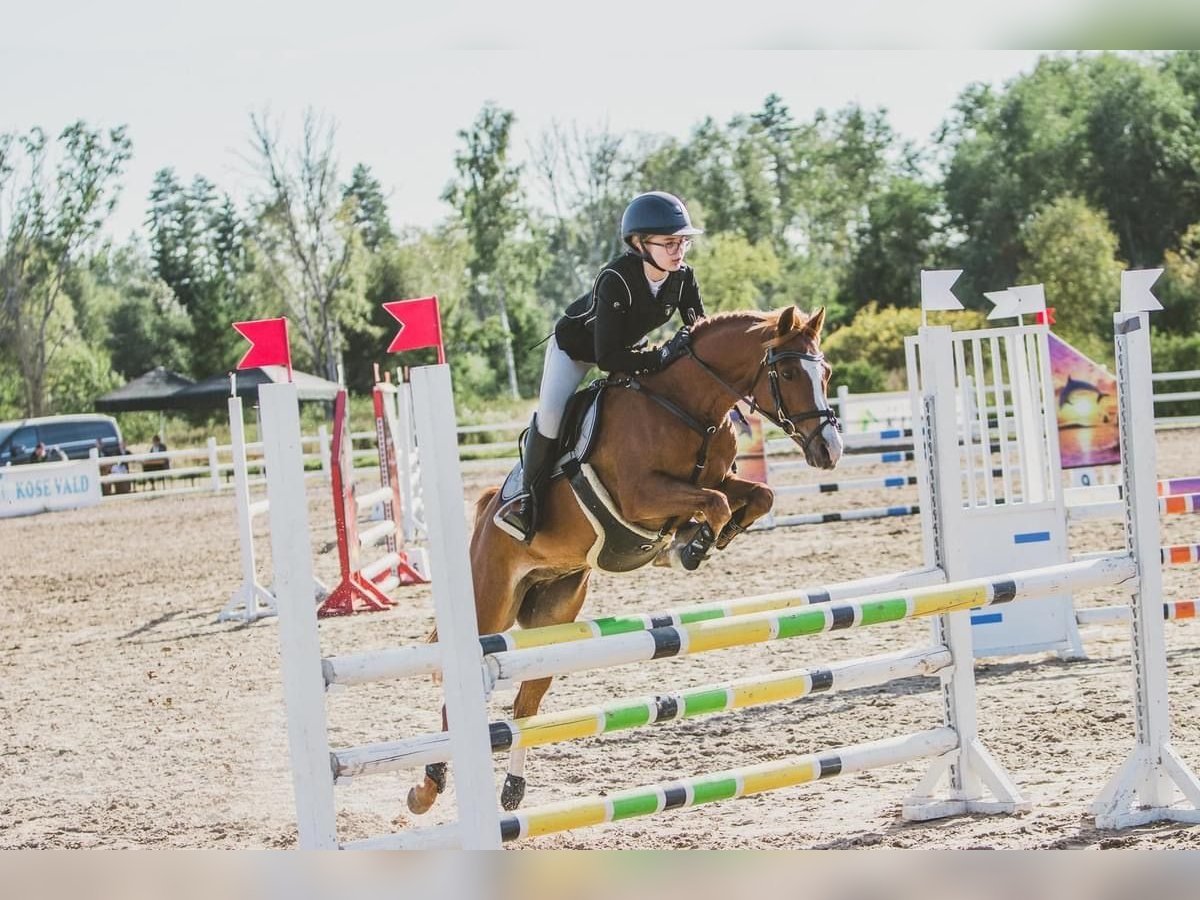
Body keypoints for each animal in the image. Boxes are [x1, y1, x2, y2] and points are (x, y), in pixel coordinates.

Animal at [408, 304, 840, 816]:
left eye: (826, 373)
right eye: (789, 372)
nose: (829, 450)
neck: (690, 409)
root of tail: (486, 513)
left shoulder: (716, 480)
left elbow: (757, 495)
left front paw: (709, 536)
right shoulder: (641, 496)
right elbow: (713, 502)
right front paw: (691, 546)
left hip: (554, 617)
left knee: (525, 705)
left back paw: (512, 790)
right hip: (488, 608)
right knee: (460, 696)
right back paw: (427, 788)